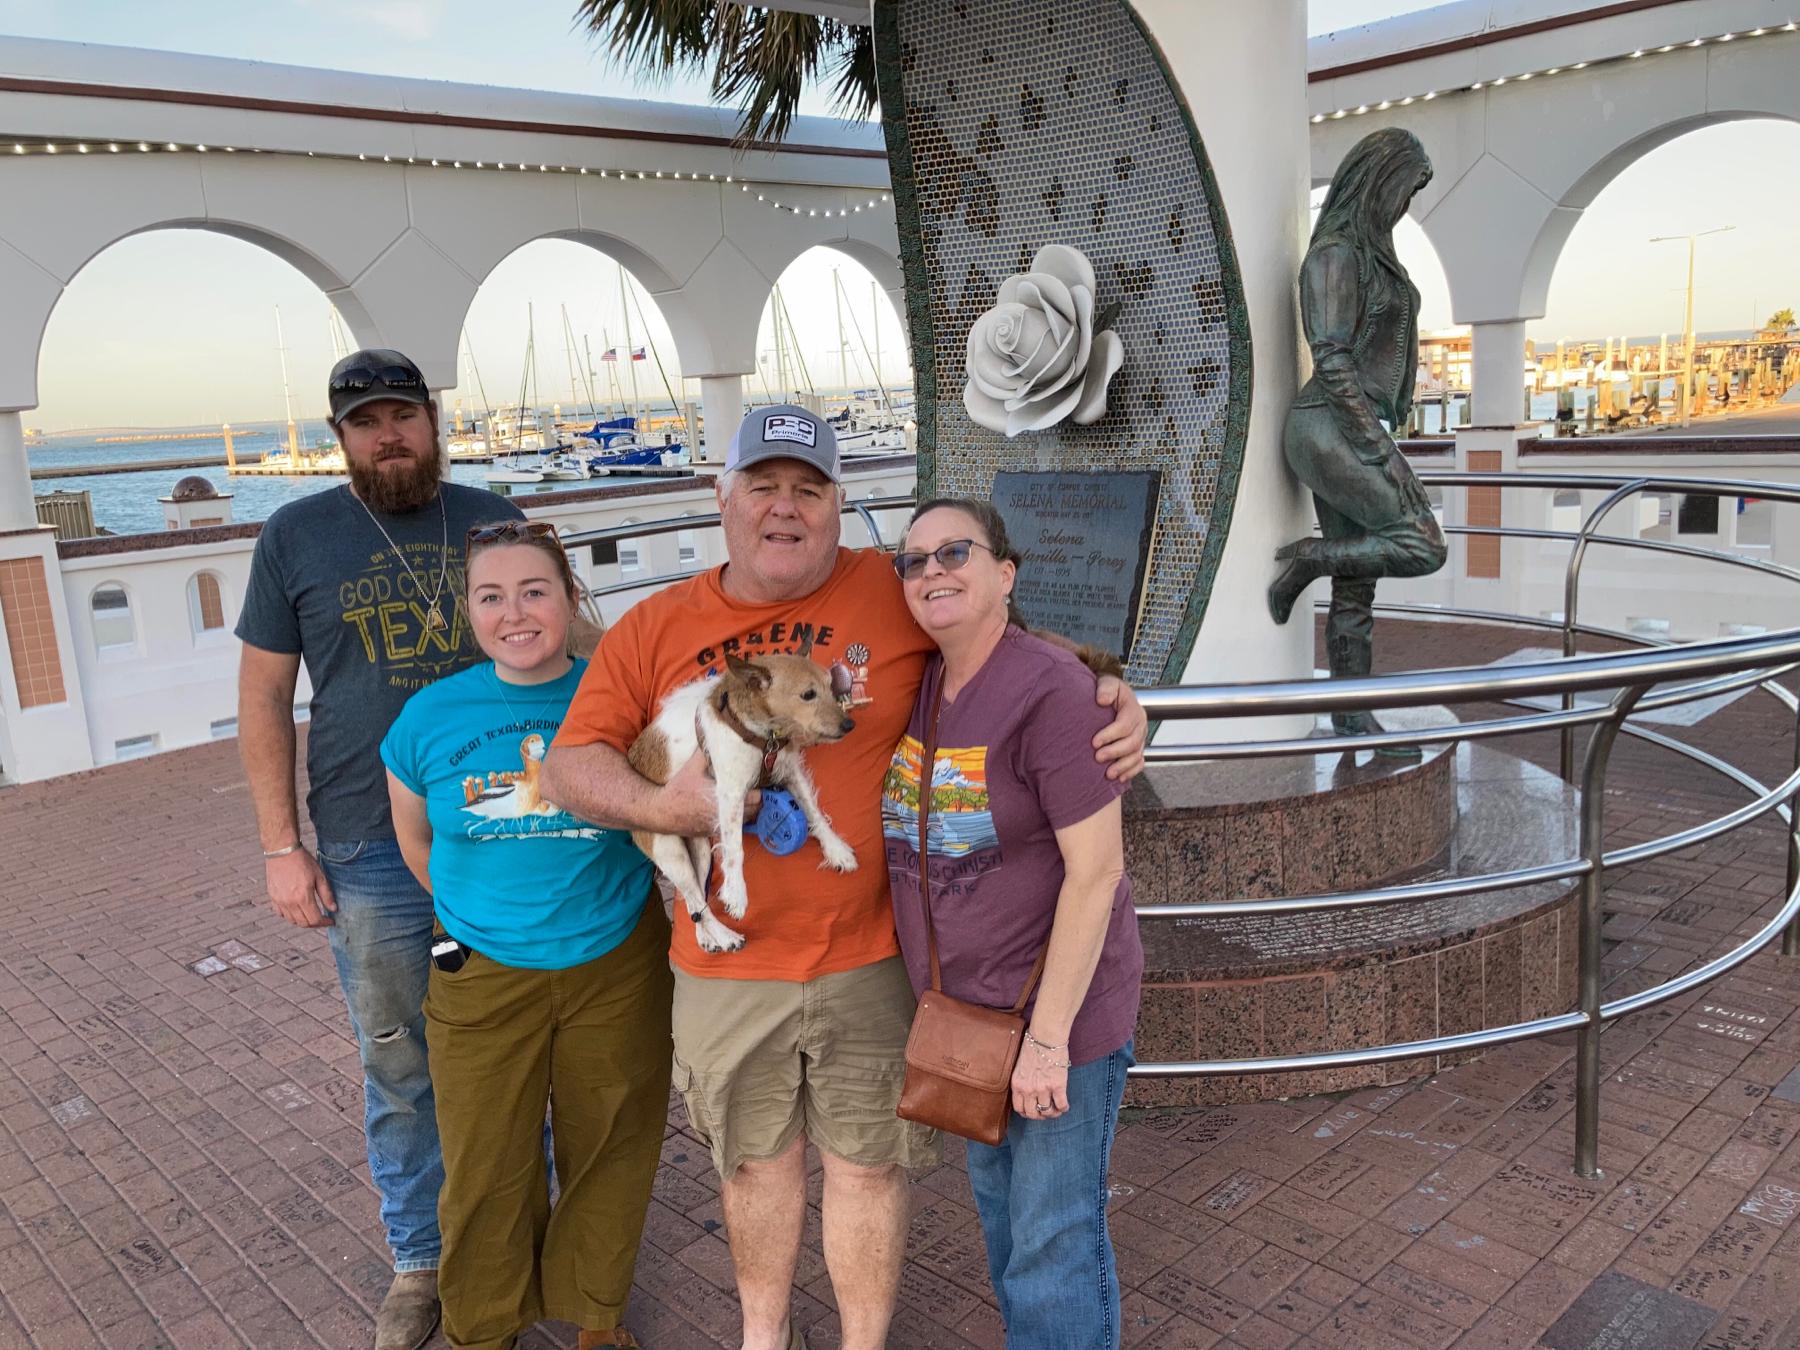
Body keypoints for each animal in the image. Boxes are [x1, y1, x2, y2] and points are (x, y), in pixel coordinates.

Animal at [630, 644, 860, 950]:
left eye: (829, 685)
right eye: (808, 695)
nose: (849, 724)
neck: (764, 733)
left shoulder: (790, 771)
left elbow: (813, 811)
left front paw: (836, 850)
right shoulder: (731, 793)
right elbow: (734, 848)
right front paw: (737, 894)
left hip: (699, 849)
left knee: (696, 903)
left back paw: (708, 937)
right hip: (669, 851)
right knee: (693, 896)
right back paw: (726, 936)